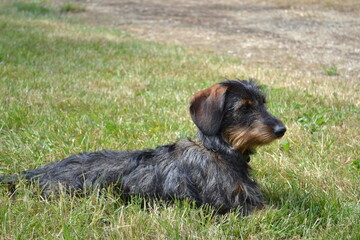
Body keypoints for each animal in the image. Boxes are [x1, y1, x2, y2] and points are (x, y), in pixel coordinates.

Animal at [1, 79, 286, 215]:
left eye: (262, 103)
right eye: (244, 108)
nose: (281, 129)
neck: (218, 151)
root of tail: (38, 173)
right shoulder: (232, 207)